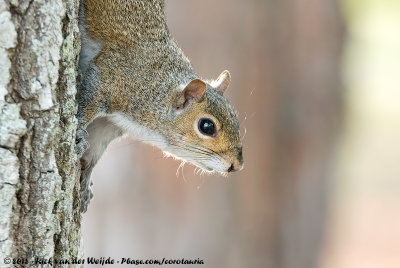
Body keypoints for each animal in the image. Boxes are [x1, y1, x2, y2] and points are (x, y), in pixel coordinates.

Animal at [76, 0, 244, 214]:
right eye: (207, 126)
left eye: (235, 119)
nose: (236, 165)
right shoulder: (108, 79)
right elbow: (87, 104)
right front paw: (78, 130)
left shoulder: (108, 125)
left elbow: (94, 151)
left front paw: (84, 182)